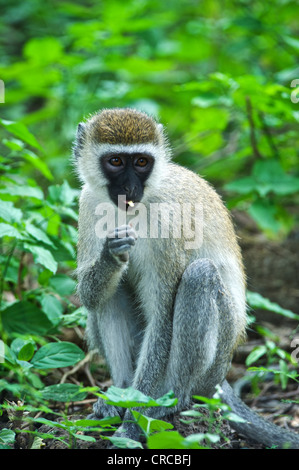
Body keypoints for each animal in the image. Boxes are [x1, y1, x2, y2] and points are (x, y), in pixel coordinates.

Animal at [74, 107, 299, 448]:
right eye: (115, 161)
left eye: (142, 162)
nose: (129, 189)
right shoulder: (87, 204)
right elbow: (90, 295)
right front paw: (111, 256)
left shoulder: (168, 222)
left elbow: (162, 319)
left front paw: (133, 423)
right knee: (111, 293)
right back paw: (120, 393)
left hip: (217, 359)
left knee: (199, 277)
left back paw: (171, 400)